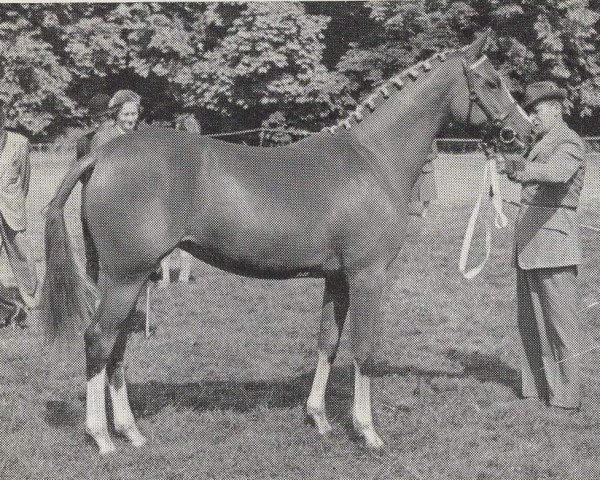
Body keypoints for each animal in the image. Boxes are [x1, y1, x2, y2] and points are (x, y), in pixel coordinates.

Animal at [39, 31, 532, 456]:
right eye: (492, 81)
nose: (525, 134)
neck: (373, 159)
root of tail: (102, 153)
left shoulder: (337, 279)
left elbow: (327, 342)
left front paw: (320, 419)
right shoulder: (368, 276)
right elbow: (365, 351)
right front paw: (368, 432)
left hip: (129, 277)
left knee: (117, 348)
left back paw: (131, 432)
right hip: (127, 276)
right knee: (98, 340)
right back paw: (102, 438)